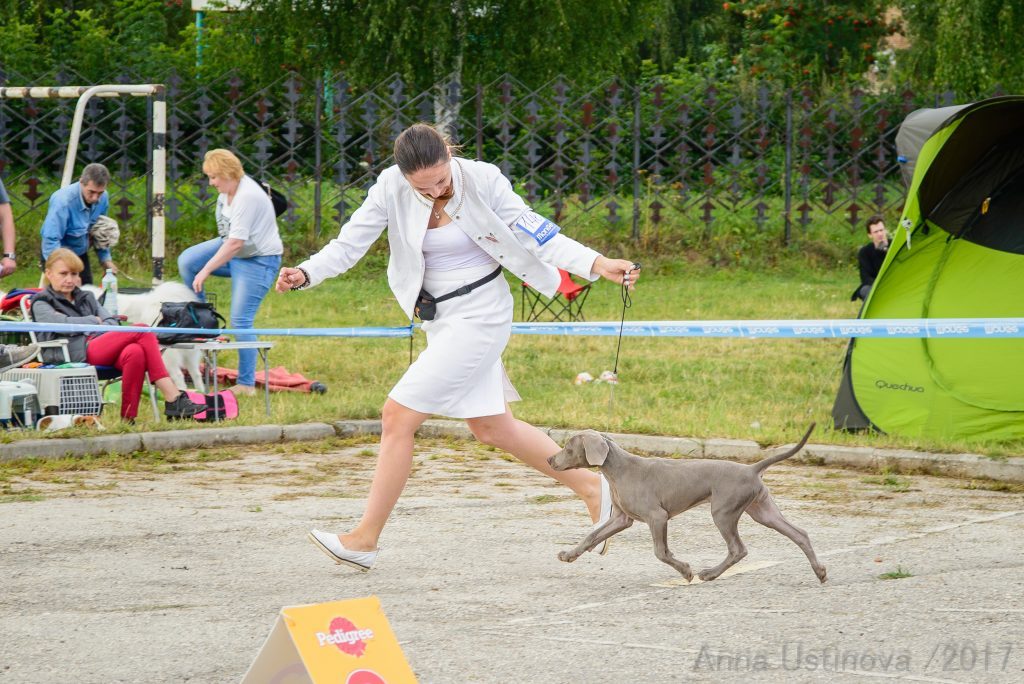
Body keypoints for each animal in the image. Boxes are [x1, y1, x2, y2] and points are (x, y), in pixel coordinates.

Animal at [548, 421, 827, 581]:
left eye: (569, 447)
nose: (550, 459)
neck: (618, 470)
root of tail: (751, 469)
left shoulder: (657, 517)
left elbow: (660, 552)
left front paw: (685, 571)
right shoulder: (621, 518)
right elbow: (591, 537)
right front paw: (569, 555)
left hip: (723, 512)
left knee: (738, 549)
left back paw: (710, 574)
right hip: (762, 510)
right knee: (800, 533)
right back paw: (820, 572)